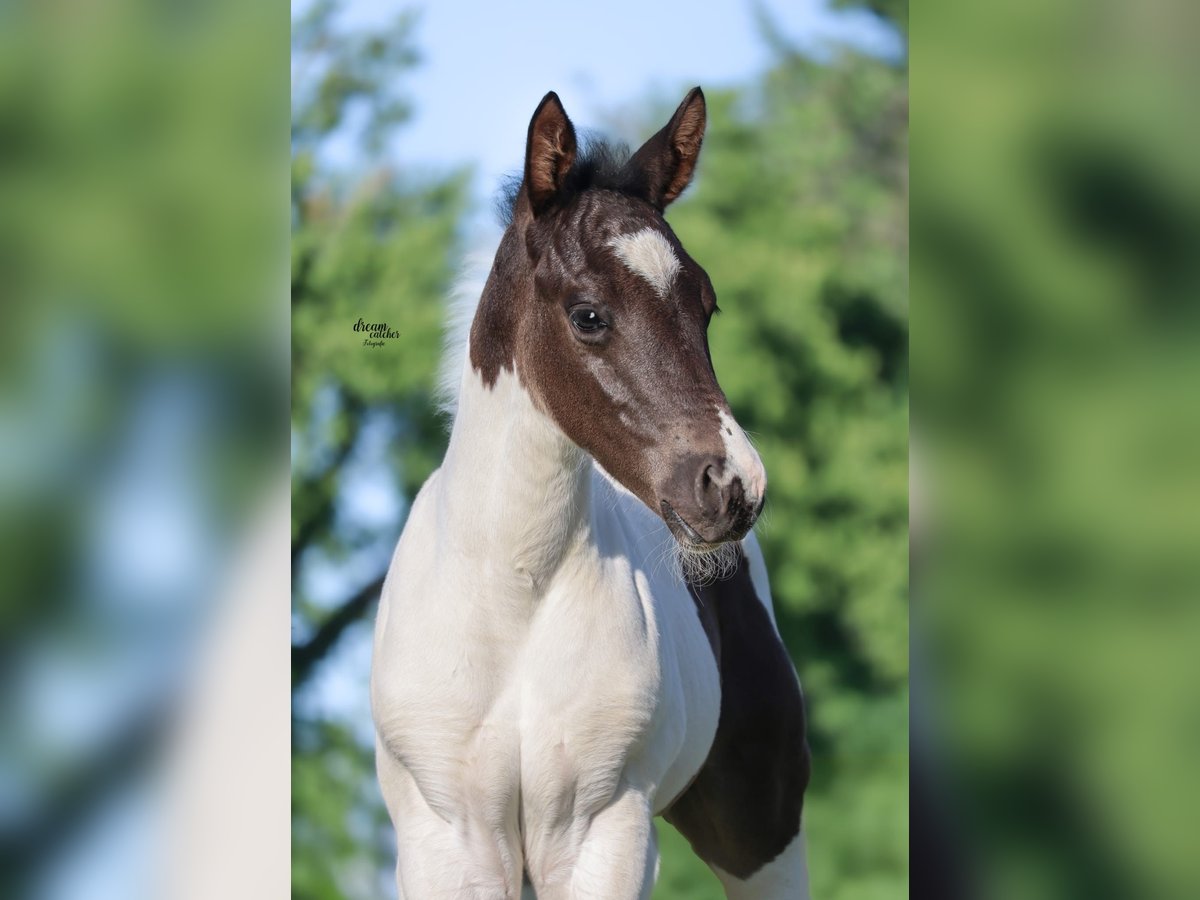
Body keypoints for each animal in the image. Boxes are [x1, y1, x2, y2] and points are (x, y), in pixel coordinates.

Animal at [370, 87, 810, 900]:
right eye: (588, 314)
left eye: (706, 308)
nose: (734, 486)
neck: (511, 593)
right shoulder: (450, 841)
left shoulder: (602, 832)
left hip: (762, 834)